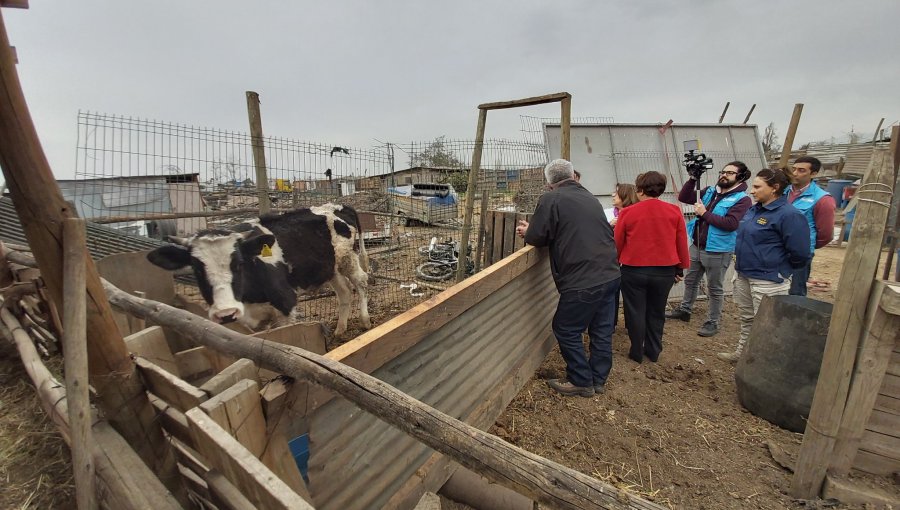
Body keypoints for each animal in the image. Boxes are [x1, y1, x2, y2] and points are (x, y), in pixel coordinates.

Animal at [146, 203, 370, 334]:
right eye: (196, 268)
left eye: (239, 263)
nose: (225, 312)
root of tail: (338, 206)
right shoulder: (251, 321)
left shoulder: (286, 303)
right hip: (331, 268)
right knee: (344, 292)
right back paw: (340, 330)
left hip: (349, 258)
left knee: (361, 282)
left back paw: (365, 320)